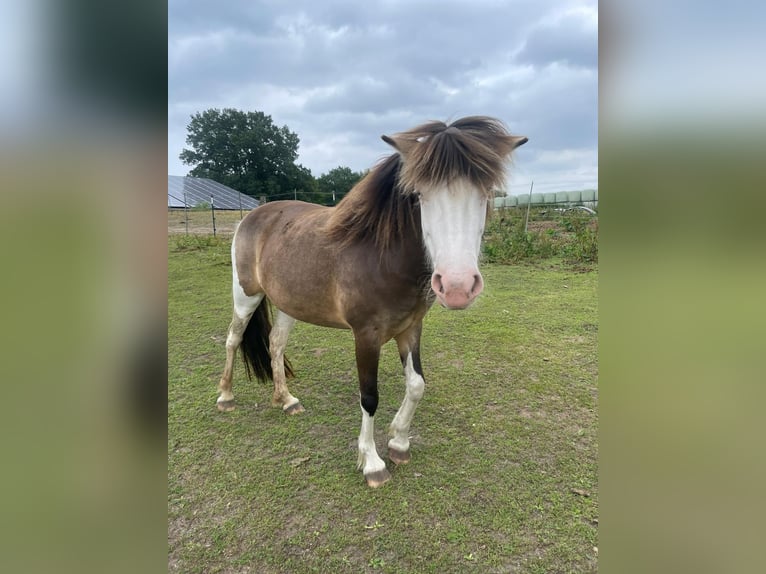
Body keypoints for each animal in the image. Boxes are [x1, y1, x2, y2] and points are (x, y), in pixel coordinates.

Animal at [217, 116, 527, 487]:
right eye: (418, 195)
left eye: (486, 194)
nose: (457, 286)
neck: (381, 256)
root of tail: (253, 215)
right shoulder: (366, 335)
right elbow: (369, 396)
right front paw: (372, 462)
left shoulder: (411, 328)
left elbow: (417, 385)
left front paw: (399, 442)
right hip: (246, 295)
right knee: (233, 339)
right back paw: (226, 396)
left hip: (289, 302)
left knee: (275, 343)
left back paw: (287, 399)